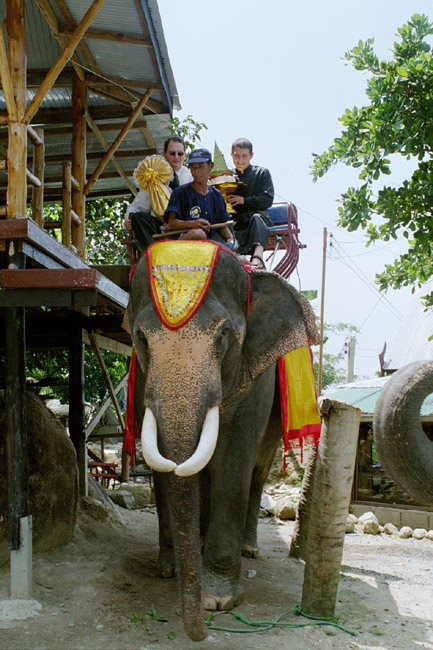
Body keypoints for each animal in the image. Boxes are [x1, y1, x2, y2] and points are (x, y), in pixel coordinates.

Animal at [124, 241, 319, 641]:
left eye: (223, 335)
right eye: (142, 338)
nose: (199, 631)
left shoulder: (256, 380)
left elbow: (233, 460)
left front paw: (218, 599)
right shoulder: (142, 383)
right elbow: (166, 462)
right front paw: (169, 569)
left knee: (257, 471)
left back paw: (249, 548)